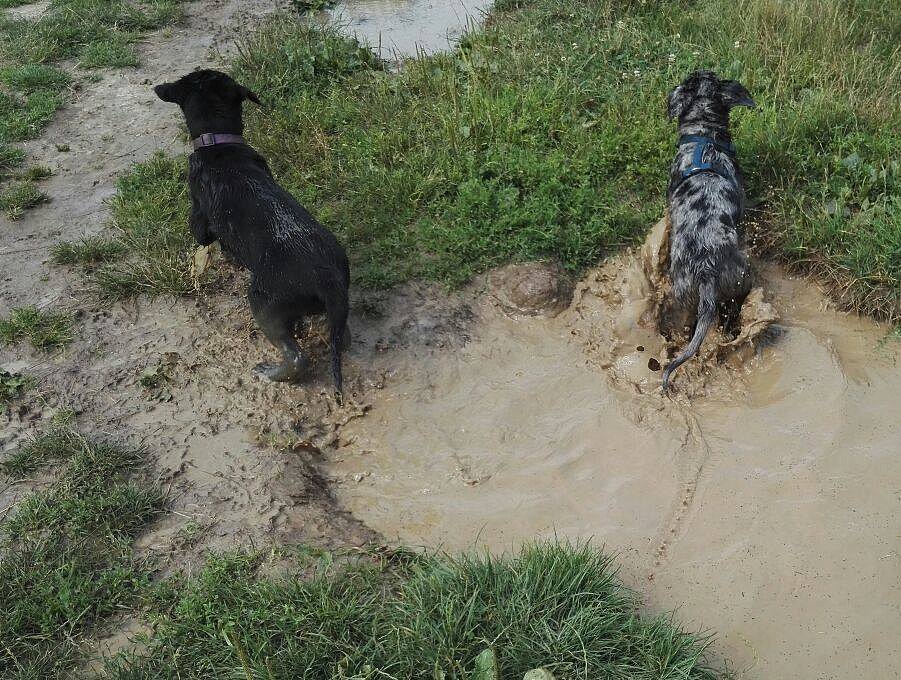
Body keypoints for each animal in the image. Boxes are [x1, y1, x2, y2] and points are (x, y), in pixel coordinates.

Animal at [153, 69, 350, 394]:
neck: (218, 143)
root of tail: (327, 280)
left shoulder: (199, 214)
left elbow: (203, 234)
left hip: (262, 303)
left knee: (296, 357)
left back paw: (272, 372)